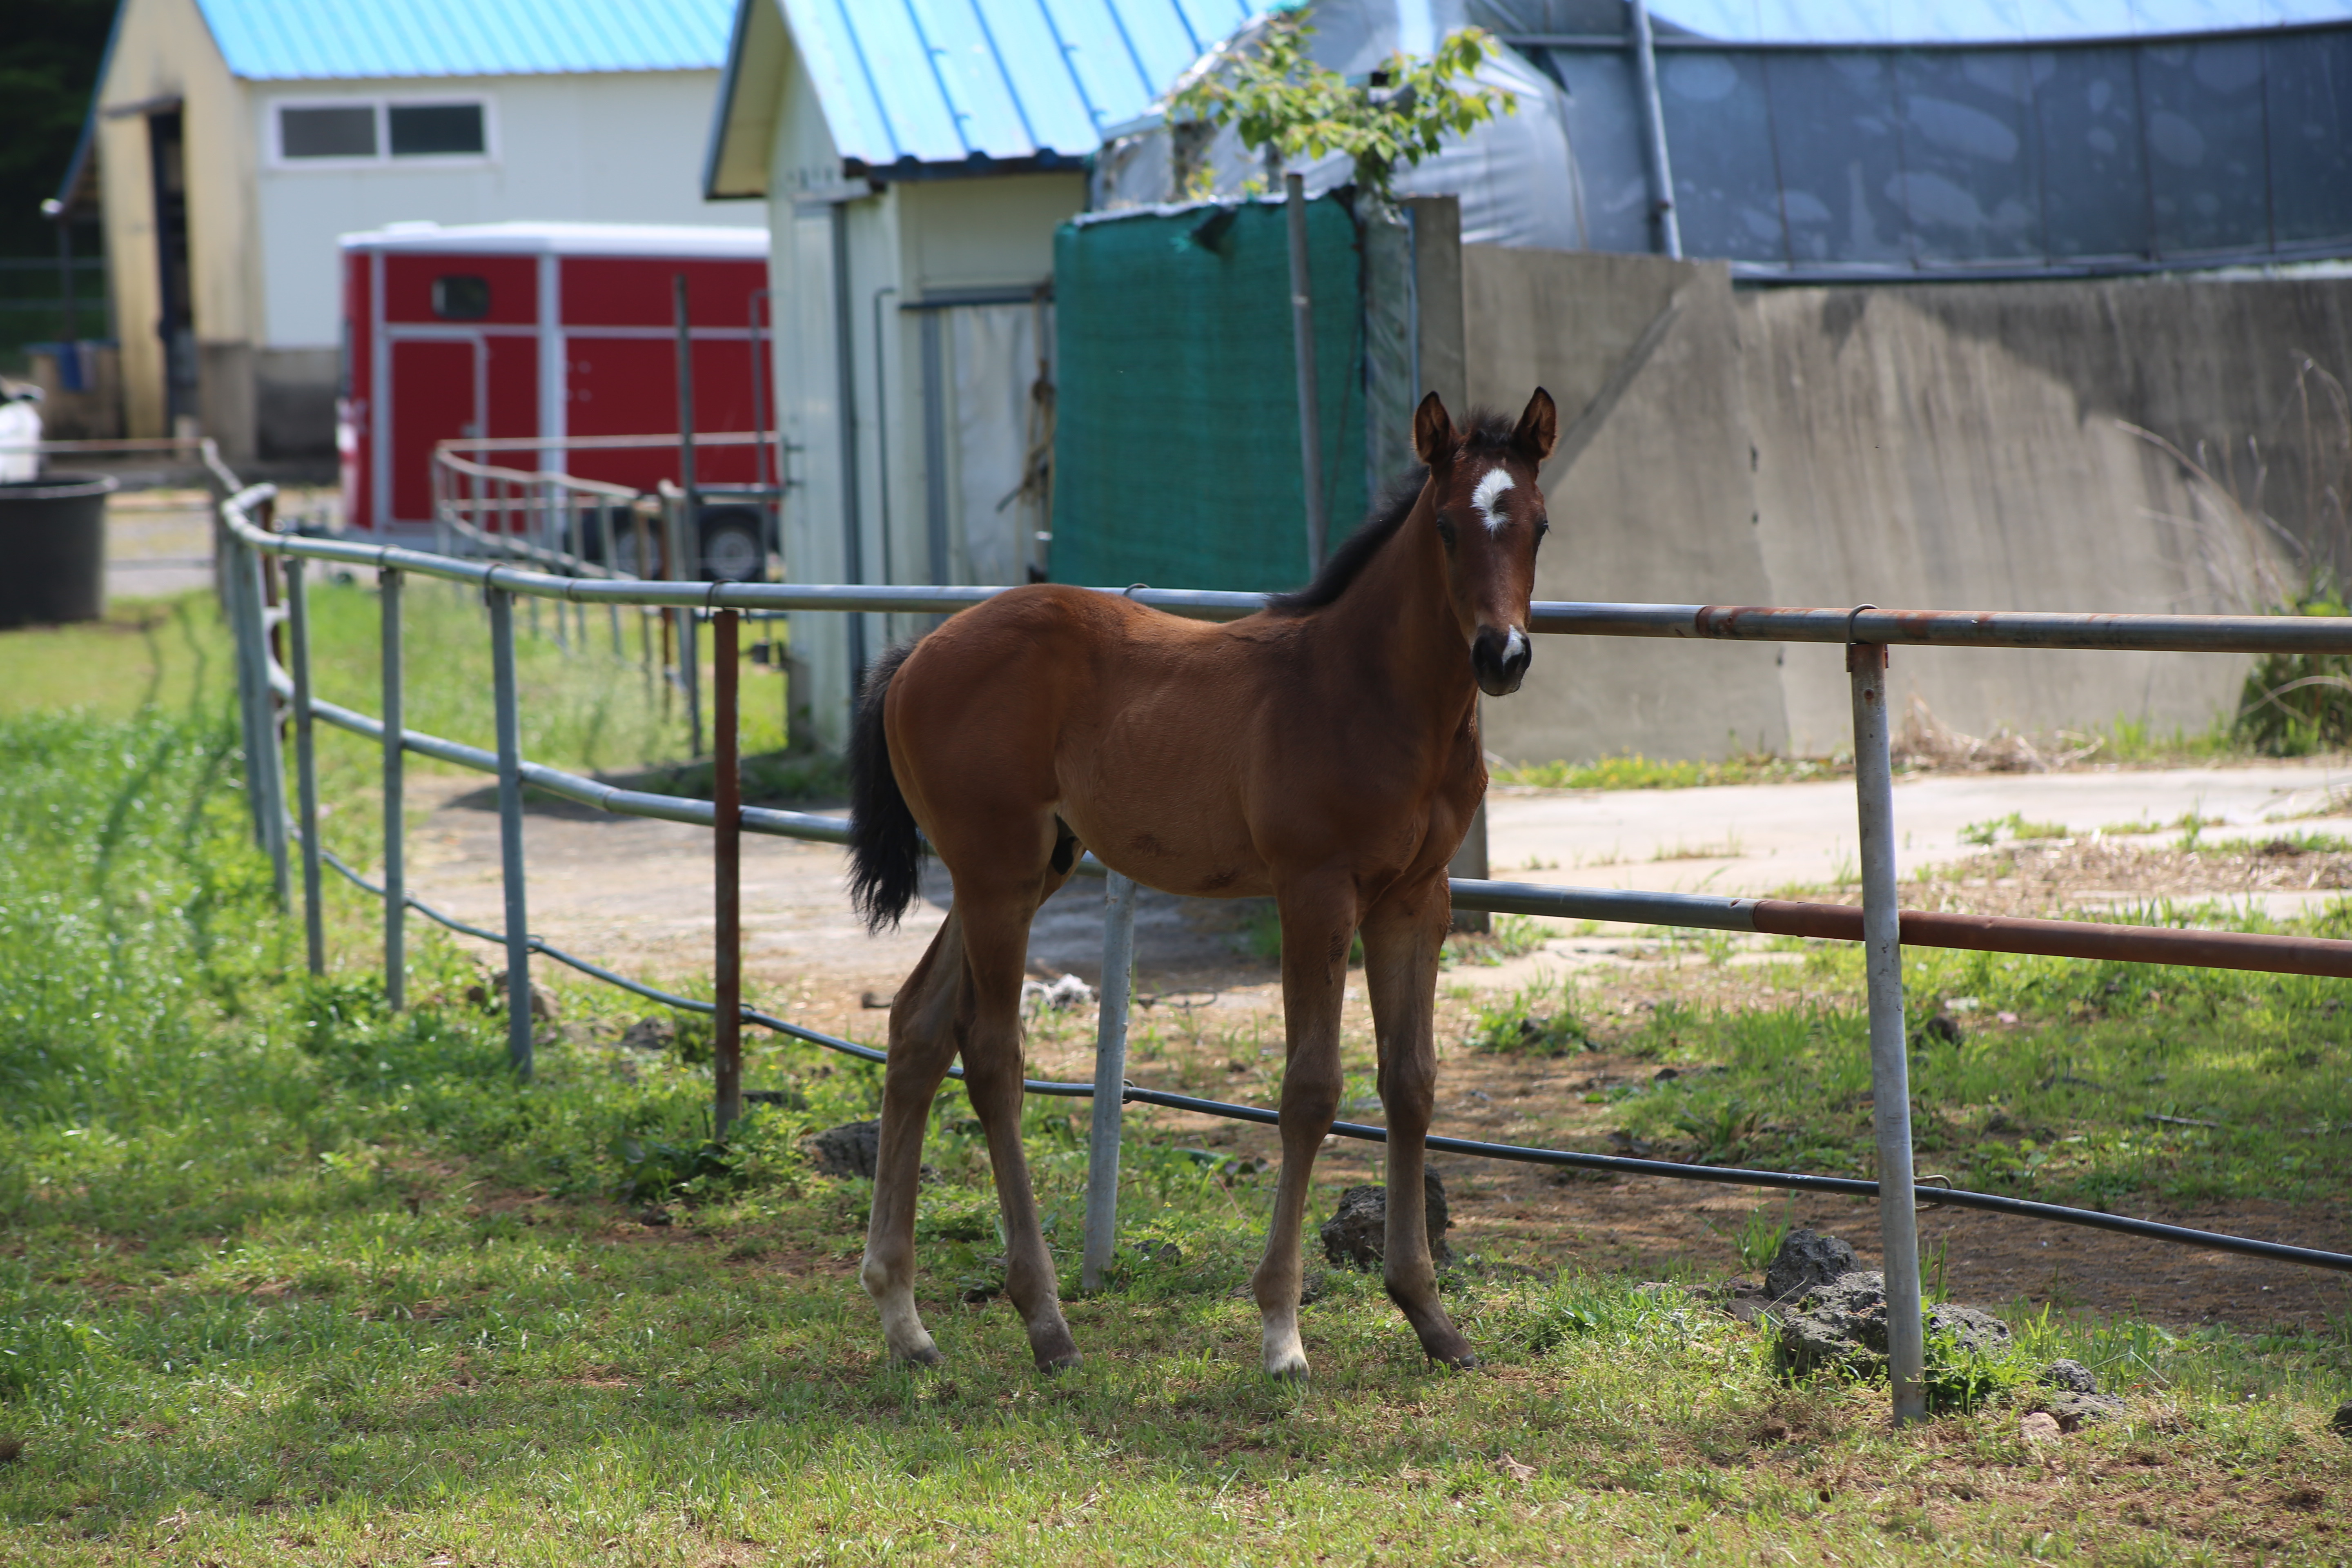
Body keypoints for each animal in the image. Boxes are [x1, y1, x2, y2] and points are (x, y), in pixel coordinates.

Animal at [851, 385, 1561, 1382]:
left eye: (1538, 524)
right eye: (1449, 526)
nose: (1503, 656)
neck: (1372, 694)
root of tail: (917, 652)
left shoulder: (1417, 899)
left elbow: (1411, 1083)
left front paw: (1431, 1318)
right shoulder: (1315, 891)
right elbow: (1311, 1091)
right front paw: (1281, 1330)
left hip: (1026, 871)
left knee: (917, 1029)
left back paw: (905, 1320)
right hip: (995, 876)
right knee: (991, 1055)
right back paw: (1047, 1323)